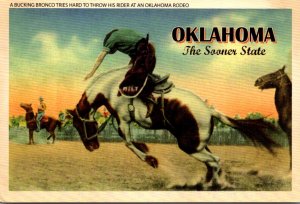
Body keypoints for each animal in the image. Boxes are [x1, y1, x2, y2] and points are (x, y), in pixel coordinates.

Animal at [67, 66, 276, 189]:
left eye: (79, 124)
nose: (91, 147)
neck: (111, 88)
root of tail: (209, 110)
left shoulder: (124, 119)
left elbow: (127, 142)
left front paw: (151, 160)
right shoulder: (123, 120)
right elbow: (130, 141)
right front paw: (147, 151)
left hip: (189, 145)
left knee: (215, 160)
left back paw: (212, 185)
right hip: (197, 144)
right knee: (212, 163)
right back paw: (208, 183)